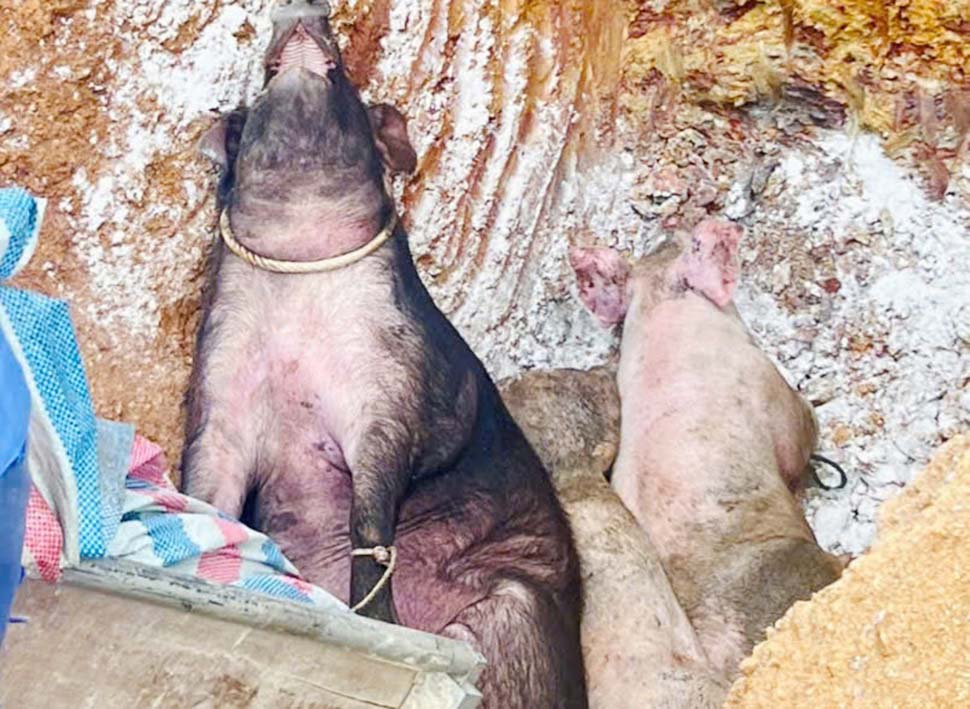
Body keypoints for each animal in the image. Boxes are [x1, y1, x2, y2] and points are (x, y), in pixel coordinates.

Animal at [182, 2, 587, 707]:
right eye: (261, 87)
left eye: (347, 80)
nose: (303, 12)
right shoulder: (222, 384)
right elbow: (209, 490)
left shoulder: (398, 386)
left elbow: (372, 519)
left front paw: (372, 621)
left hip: (516, 614)